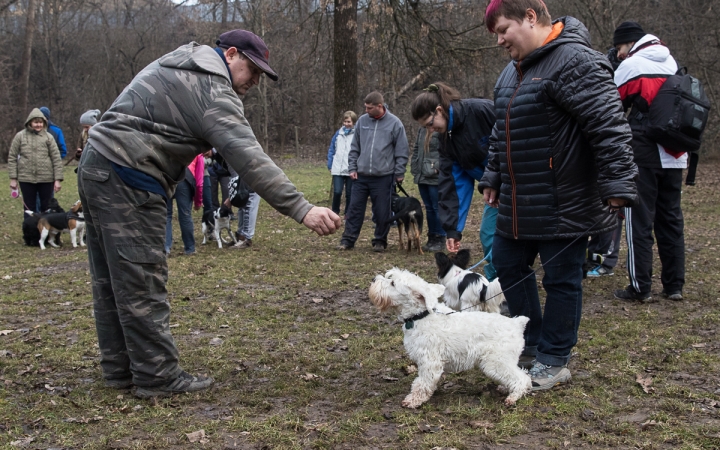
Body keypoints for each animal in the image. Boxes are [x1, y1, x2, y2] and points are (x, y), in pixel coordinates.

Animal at [372, 268, 528, 410]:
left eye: (393, 283)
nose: (374, 279)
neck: (420, 316)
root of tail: (517, 323)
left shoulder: (430, 362)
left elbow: (422, 383)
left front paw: (413, 400)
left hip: (496, 362)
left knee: (522, 379)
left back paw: (513, 397)